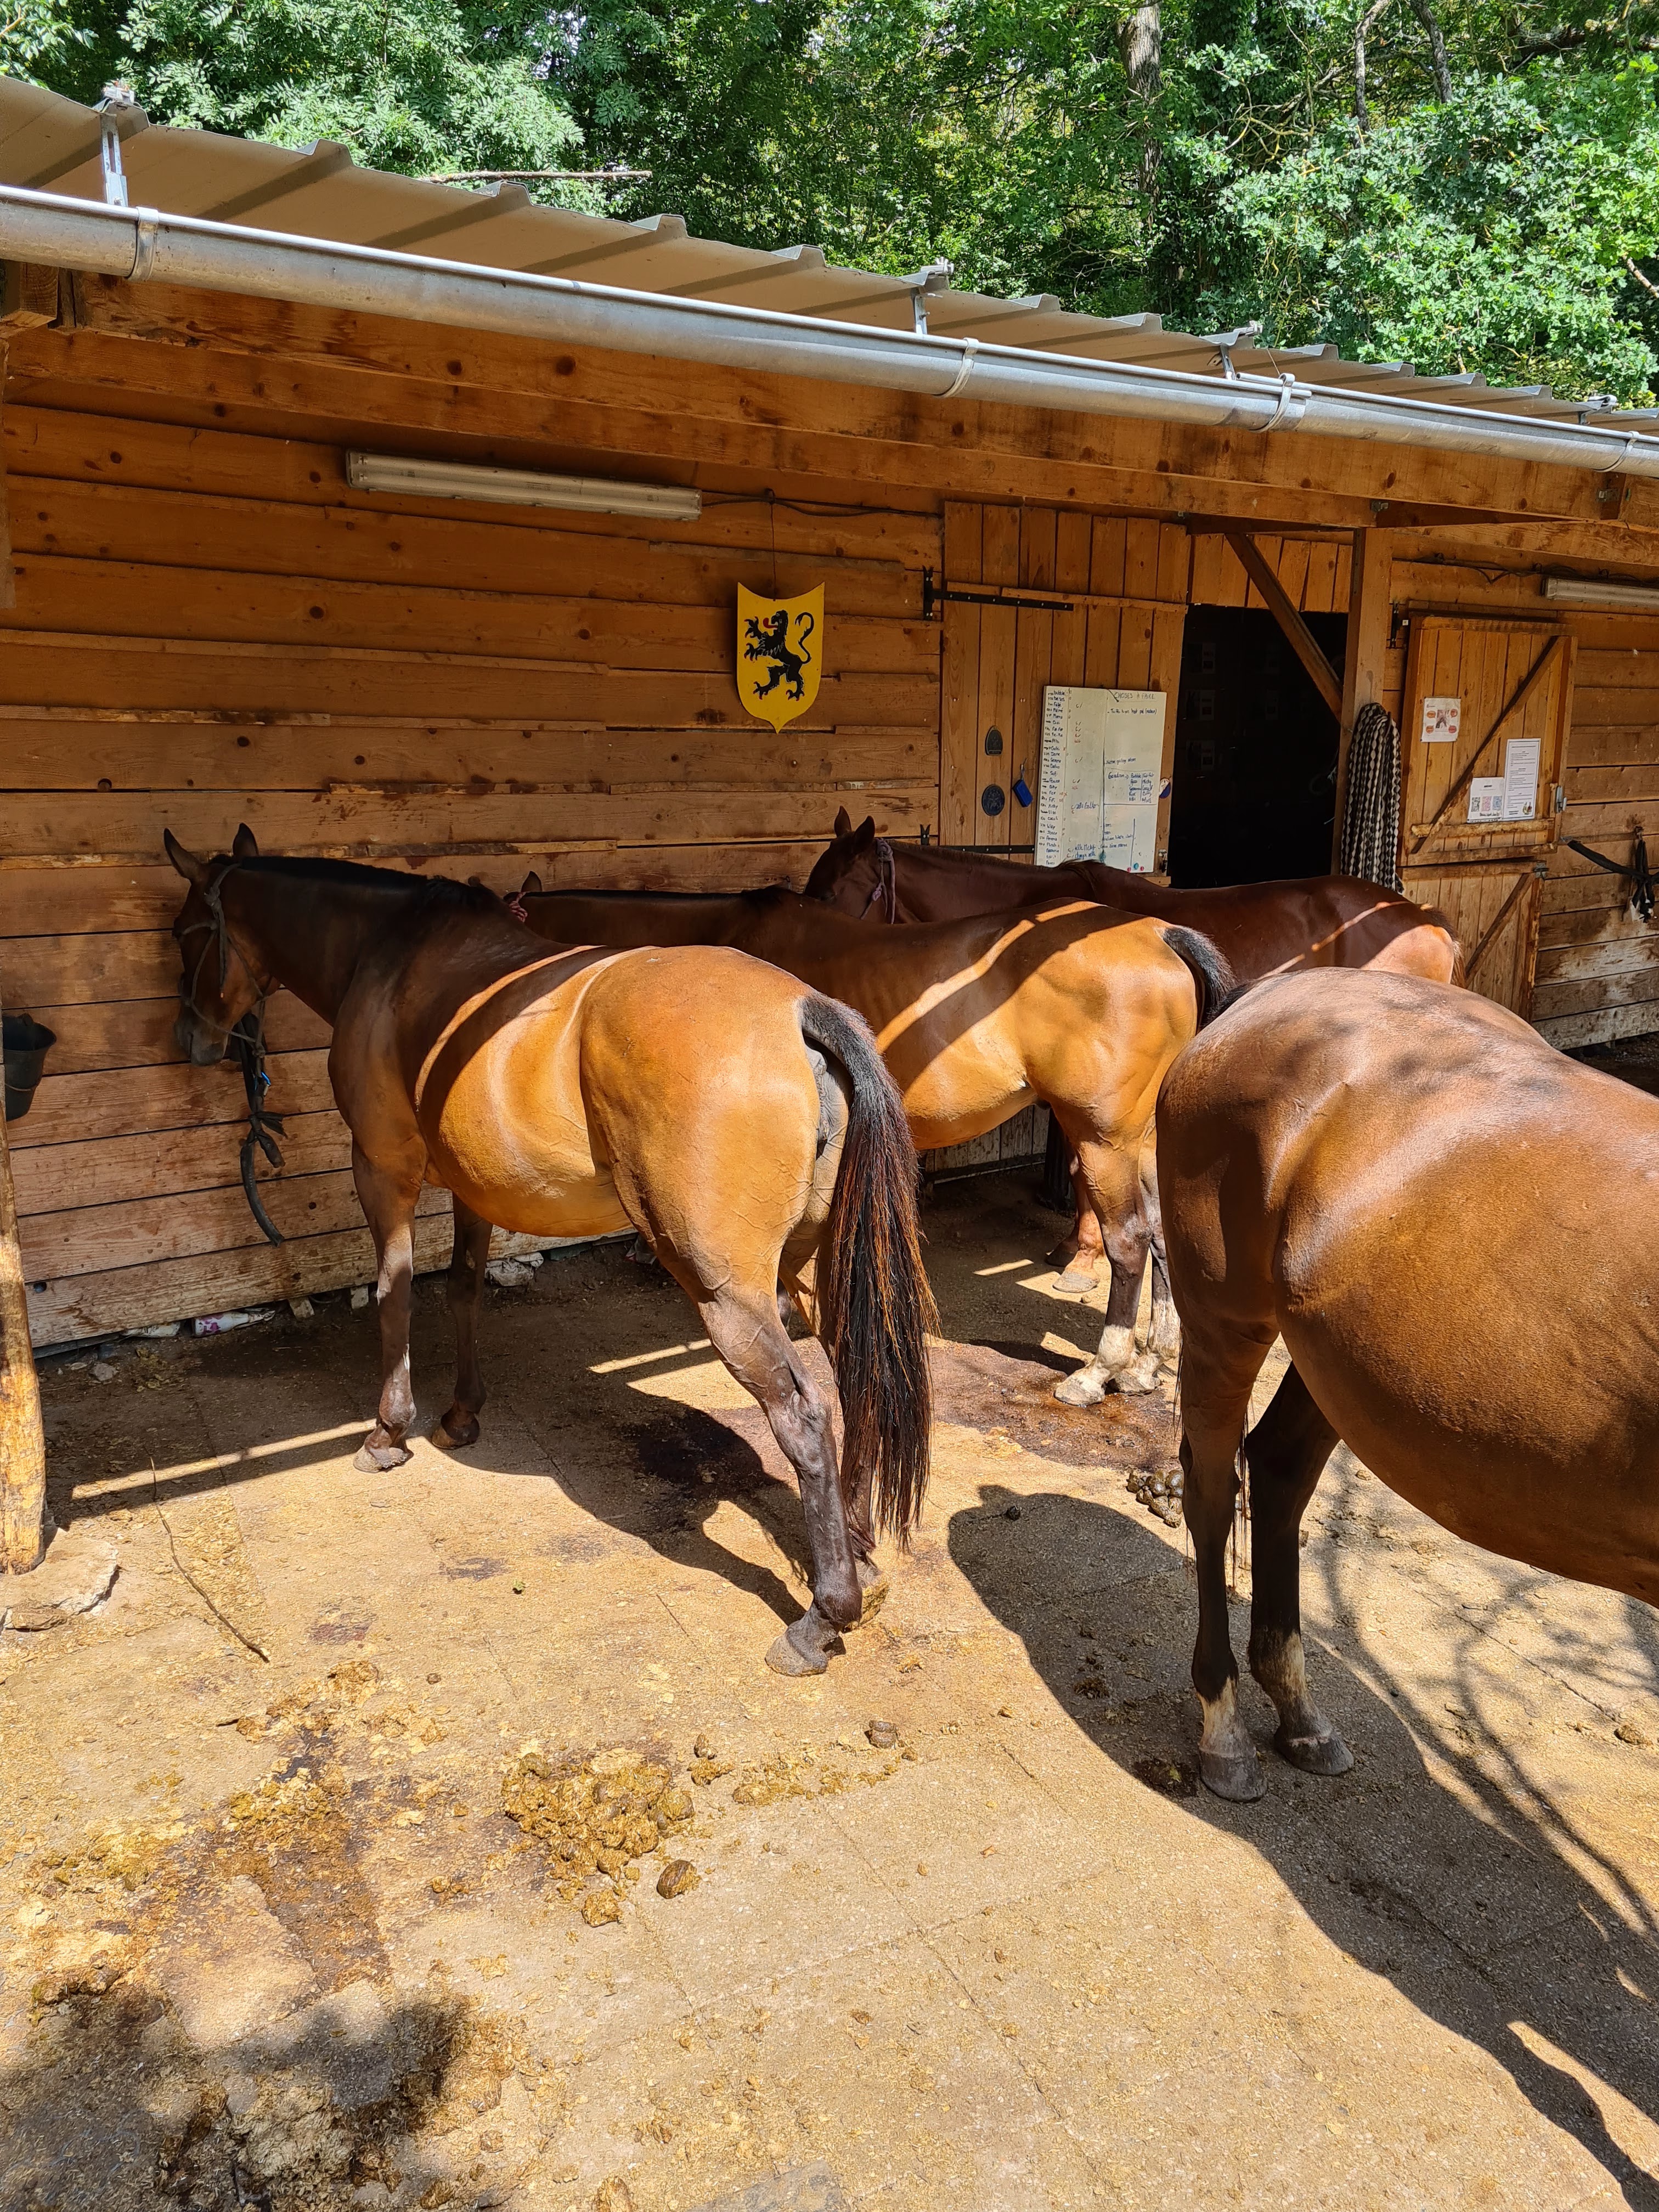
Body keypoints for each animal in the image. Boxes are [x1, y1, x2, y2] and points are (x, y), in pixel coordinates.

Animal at [163, 828, 936, 1678]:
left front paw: (389, 1431)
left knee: (803, 1415)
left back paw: (822, 1617)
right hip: (817, 1271)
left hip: (729, 1294)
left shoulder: (384, 1169)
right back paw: (858, 1550)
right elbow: (463, 1287)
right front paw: (460, 1412)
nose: (192, 1040)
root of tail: (804, 1011)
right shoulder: (474, 1187)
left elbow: (394, 1292)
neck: (391, 952)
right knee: (853, 1378)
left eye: (185, 934)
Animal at [510, 879, 1233, 1405]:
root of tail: (1159, 933)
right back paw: (1151, 1362)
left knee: (1130, 1242)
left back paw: (1098, 1371)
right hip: (1142, 1140)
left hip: (1103, 1137)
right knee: (1161, 1232)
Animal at [1156, 967, 1659, 1801]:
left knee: (1279, 1468)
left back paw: (1298, 1712)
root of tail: (1255, 997)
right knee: (1212, 1489)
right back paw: (1223, 1726)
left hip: (1333, 1358)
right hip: (1224, 1324)